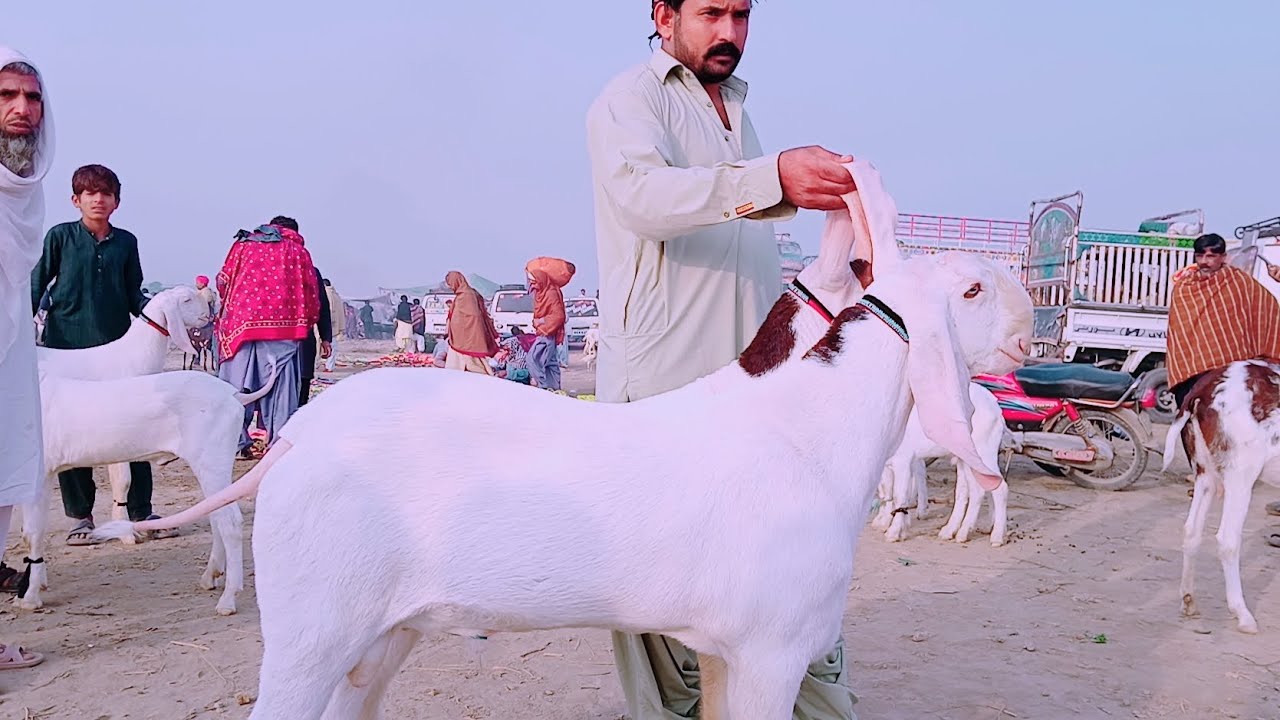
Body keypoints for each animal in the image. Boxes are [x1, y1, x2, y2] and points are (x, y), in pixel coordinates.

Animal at [15, 363, 278, 615]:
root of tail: (233, 394)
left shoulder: (38, 473)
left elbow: (32, 533)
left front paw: (30, 596)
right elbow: (31, 532)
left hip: (211, 459)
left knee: (230, 523)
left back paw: (228, 599)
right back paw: (210, 576)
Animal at [871, 383, 1011, 546]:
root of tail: (995, 407)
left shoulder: (903, 460)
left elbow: (898, 495)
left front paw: (893, 532)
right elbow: (886, 492)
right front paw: (887, 524)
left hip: (983, 451)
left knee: (995, 488)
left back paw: (995, 536)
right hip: (966, 458)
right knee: (972, 490)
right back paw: (958, 531)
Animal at [1164, 359, 1280, 634]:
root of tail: (1201, 391)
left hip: (1205, 471)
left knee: (1191, 530)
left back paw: (1189, 601)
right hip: (1241, 472)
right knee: (1227, 539)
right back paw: (1243, 615)